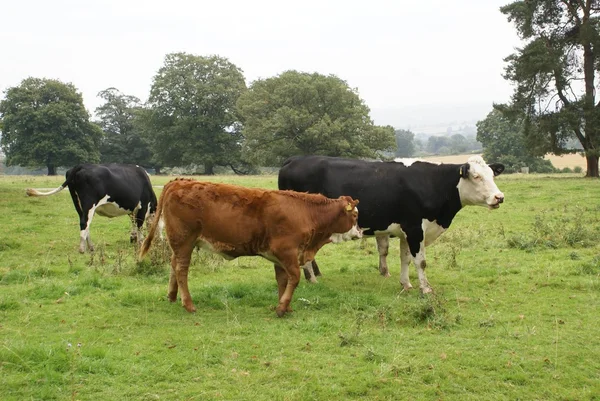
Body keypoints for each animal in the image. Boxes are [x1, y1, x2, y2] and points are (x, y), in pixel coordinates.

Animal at [26, 163, 158, 252]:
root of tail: (81, 166)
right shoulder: (143, 206)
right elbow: (139, 225)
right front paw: (140, 242)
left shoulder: (133, 210)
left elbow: (133, 223)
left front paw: (133, 238)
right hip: (89, 204)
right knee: (84, 223)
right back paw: (82, 249)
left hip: (79, 205)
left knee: (85, 222)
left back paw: (91, 246)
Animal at [138, 178, 358, 316]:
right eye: (355, 215)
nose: (360, 232)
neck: (305, 212)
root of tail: (179, 182)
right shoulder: (287, 251)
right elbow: (294, 278)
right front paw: (282, 308)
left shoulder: (278, 257)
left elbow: (282, 280)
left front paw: (285, 306)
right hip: (185, 241)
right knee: (181, 269)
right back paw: (189, 305)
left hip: (180, 244)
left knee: (173, 265)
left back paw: (172, 296)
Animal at [278, 153, 504, 290]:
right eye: (476, 176)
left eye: (492, 175)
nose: (499, 197)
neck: (433, 182)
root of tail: (294, 160)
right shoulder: (415, 229)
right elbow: (420, 262)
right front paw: (425, 289)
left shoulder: (406, 231)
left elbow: (405, 259)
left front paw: (406, 284)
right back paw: (311, 278)